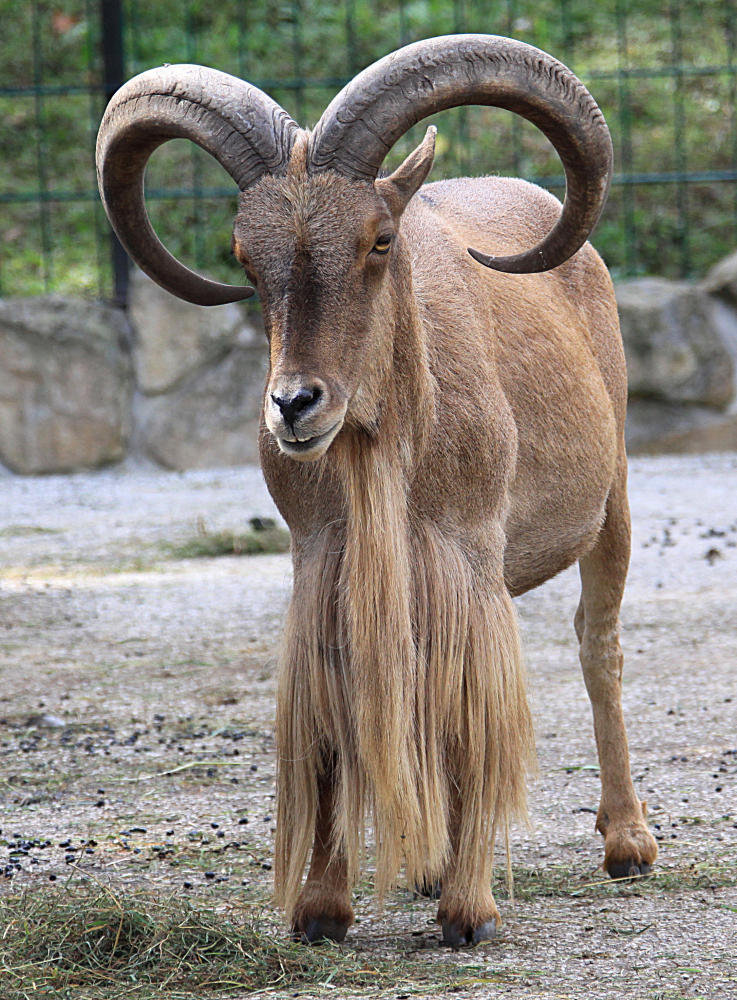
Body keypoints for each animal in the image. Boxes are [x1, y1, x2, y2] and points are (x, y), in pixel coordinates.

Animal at [96, 35, 656, 948]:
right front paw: (323, 907)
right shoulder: (325, 562)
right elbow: (336, 723)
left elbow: (476, 713)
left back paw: (627, 842)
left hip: (612, 505)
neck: (390, 449)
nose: (294, 404)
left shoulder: (468, 556)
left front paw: (468, 908)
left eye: (380, 239)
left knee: (596, 647)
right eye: (245, 257)